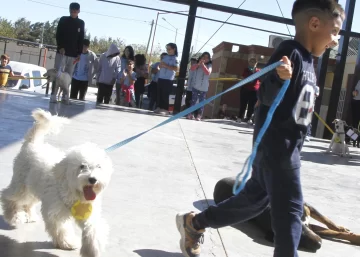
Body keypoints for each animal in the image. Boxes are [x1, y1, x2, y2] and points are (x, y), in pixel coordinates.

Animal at [0, 108, 113, 256]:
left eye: (99, 167)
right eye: (82, 166)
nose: (93, 179)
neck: (74, 192)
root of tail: (32, 143)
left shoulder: (88, 213)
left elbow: (92, 229)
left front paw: (92, 249)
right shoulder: (55, 211)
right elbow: (61, 228)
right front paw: (67, 242)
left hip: (34, 188)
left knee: (27, 202)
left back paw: (30, 216)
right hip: (21, 185)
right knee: (8, 196)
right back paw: (14, 216)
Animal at [214, 177, 360, 251]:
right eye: (297, 240)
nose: (318, 246)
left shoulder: (308, 210)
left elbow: (329, 224)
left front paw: (345, 231)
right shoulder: (312, 229)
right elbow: (333, 233)